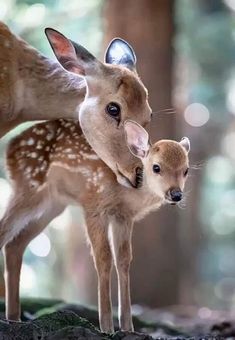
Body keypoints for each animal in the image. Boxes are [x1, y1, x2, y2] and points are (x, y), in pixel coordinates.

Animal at [0, 117, 189, 332]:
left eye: (186, 170)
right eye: (156, 167)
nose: (176, 194)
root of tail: (10, 146)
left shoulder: (123, 216)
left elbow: (123, 260)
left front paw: (127, 327)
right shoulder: (93, 205)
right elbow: (103, 257)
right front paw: (107, 327)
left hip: (54, 204)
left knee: (15, 244)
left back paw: (14, 318)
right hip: (29, 186)